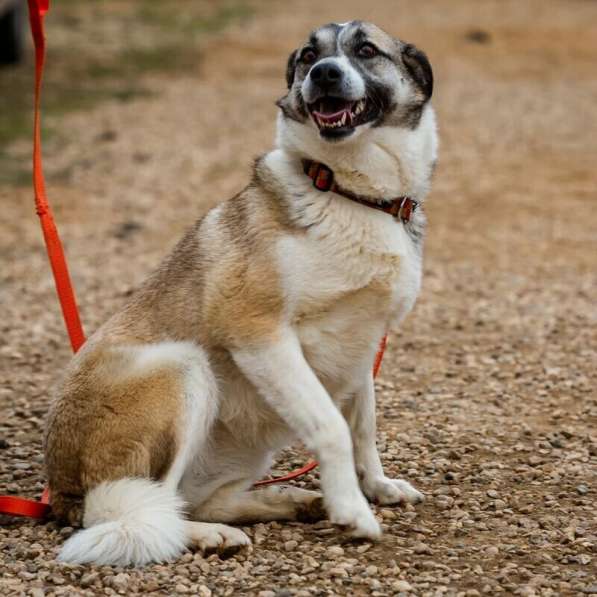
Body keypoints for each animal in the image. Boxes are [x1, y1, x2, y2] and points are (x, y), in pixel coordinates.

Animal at [45, 21, 438, 564]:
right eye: (309, 55)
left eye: (365, 49)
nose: (323, 73)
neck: (346, 192)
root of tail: (61, 494)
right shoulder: (260, 335)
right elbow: (333, 427)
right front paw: (353, 509)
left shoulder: (362, 343)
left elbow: (364, 426)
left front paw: (374, 487)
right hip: (182, 368)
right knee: (137, 510)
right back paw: (209, 535)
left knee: (196, 500)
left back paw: (291, 501)